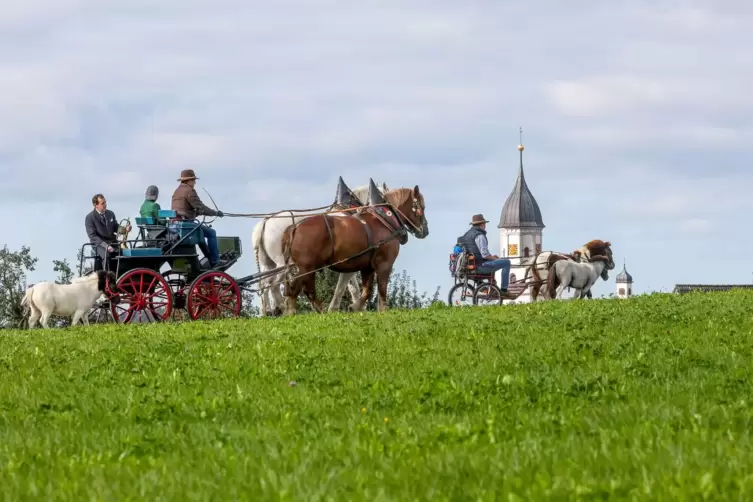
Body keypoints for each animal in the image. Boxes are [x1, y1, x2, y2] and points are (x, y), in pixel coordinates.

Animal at [254, 179, 388, 314]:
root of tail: (265, 222)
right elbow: (343, 286)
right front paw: (337, 308)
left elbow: (352, 287)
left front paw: (357, 307)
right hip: (282, 263)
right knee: (272, 284)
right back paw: (282, 307)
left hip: (268, 264)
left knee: (263, 284)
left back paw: (267, 311)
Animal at [280, 179, 428, 314]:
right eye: (422, 206)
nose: (425, 231)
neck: (383, 220)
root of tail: (295, 227)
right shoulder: (384, 265)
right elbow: (381, 290)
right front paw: (382, 311)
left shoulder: (367, 267)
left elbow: (367, 290)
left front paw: (355, 307)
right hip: (306, 268)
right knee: (302, 290)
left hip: (302, 268)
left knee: (295, 289)